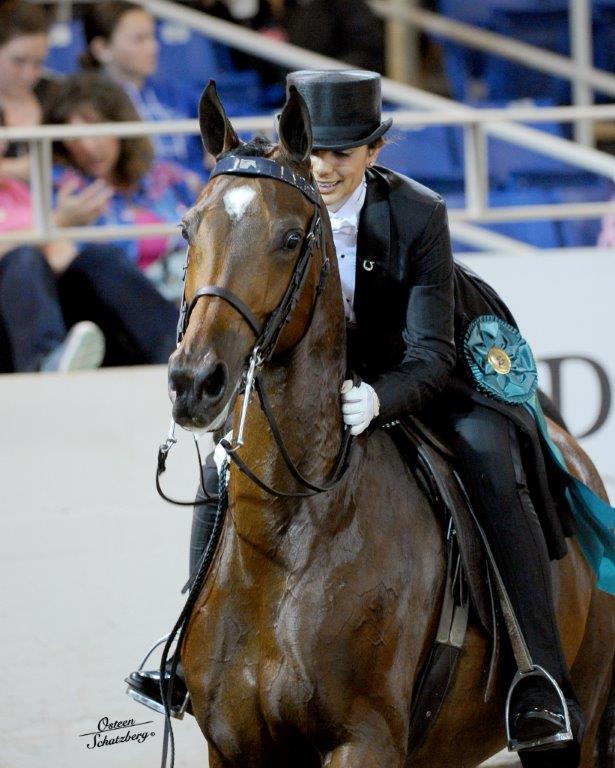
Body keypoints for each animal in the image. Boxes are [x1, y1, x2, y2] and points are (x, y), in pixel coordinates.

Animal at [168, 82, 615, 768]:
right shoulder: (233, 747)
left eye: (291, 238)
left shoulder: (366, 740)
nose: (196, 381)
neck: (288, 537)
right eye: (189, 229)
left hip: (579, 731)